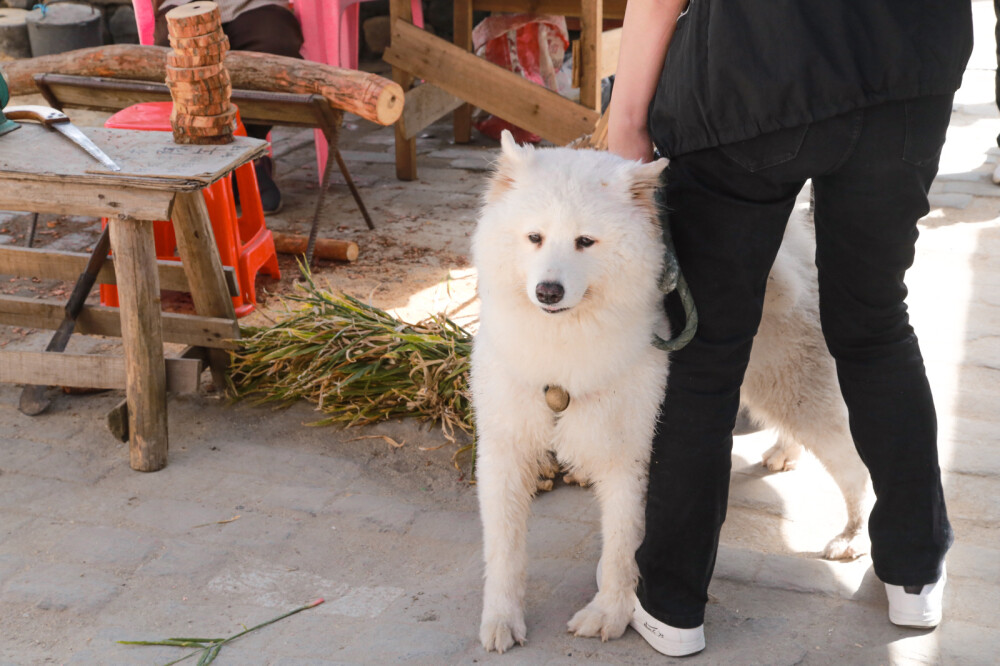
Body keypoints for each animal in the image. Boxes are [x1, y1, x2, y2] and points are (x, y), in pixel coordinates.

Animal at [472, 132, 872, 652]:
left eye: (585, 241)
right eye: (534, 237)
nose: (548, 291)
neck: (564, 352)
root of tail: (794, 240)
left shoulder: (631, 457)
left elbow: (621, 548)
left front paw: (610, 613)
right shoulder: (505, 447)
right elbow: (504, 550)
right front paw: (501, 618)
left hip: (793, 390)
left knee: (855, 465)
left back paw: (854, 535)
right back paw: (786, 453)